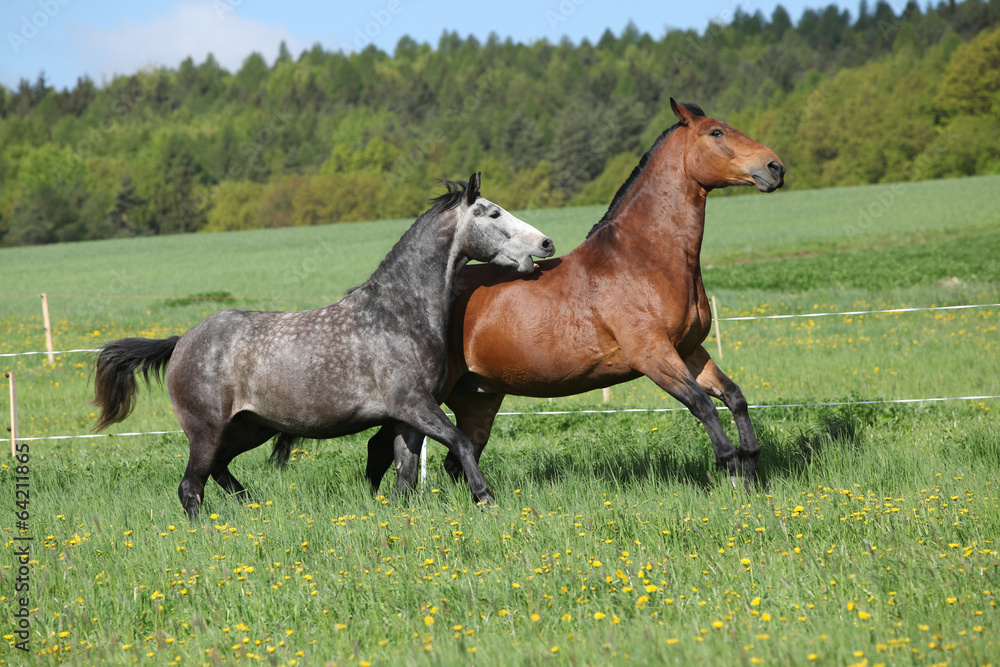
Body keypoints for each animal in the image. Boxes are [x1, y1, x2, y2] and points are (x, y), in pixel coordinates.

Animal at [92, 174, 555, 520]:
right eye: (492, 212)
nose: (546, 243)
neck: (398, 314)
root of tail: (182, 341)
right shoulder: (416, 405)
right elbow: (460, 442)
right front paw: (485, 498)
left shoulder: (408, 417)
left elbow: (405, 477)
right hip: (205, 429)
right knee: (191, 486)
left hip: (251, 427)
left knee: (219, 470)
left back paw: (254, 505)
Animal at [365, 100, 785, 495]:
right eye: (716, 132)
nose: (775, 167)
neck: (643, 259)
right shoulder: (653, 355)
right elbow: (703, 406)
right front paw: (732, 473)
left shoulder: (689, 350)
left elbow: (734, 396)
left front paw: (749, 469)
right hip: (423, 397)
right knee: (385, 447)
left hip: (478, 398)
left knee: (449, 456)